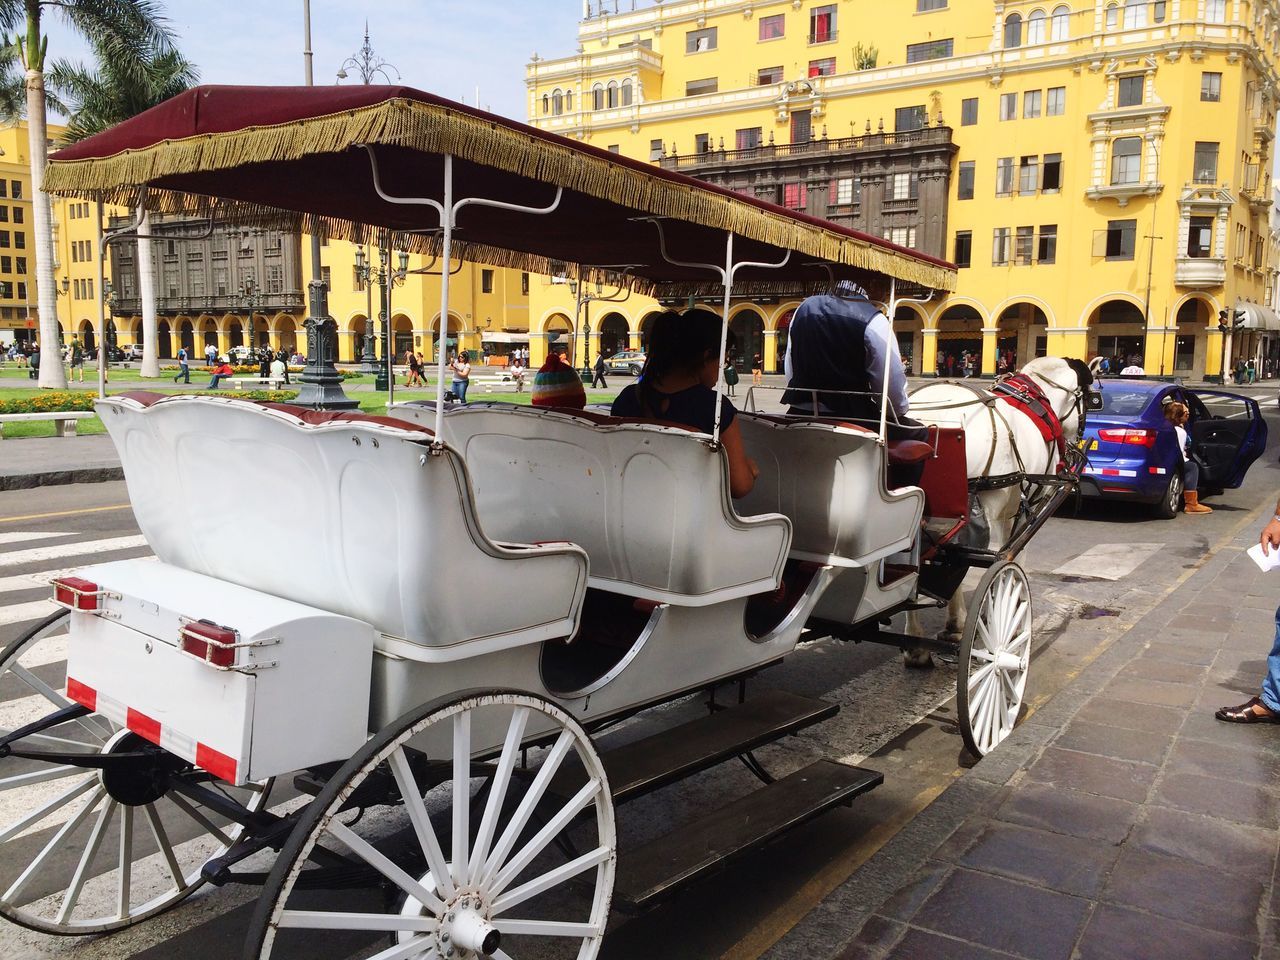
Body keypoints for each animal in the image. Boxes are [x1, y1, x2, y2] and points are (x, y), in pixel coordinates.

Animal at [901, 358, 1090, 665]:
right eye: (1090, 399)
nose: (1077, 444)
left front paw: (955, 626)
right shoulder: (1027, 503)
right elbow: (1011, 556)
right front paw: (1009, 612)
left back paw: (917, 645)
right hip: (991, 501)